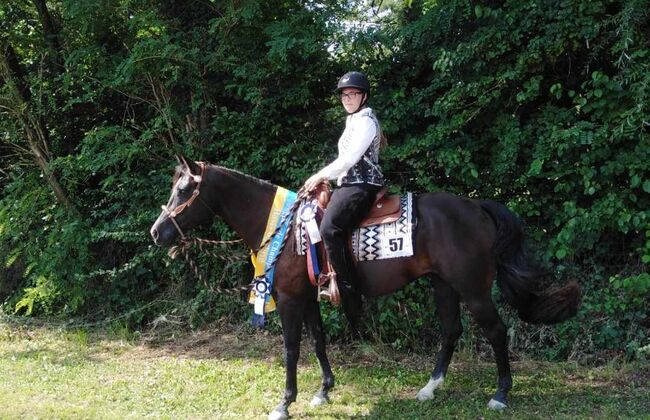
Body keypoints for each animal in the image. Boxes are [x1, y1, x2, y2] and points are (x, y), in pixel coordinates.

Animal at [151, 156, 576, 418]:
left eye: (185, 191)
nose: (157, 232)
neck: (285, 228)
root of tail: (476, 207)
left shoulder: (288, 298)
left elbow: (291, 349)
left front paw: (284, 404)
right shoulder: (309, 297)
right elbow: (319, 341)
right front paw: (323, 390)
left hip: (472, 289)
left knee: (496, 331)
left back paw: (501, 395)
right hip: (442, 285)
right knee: (451, 330)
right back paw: (429, 388)